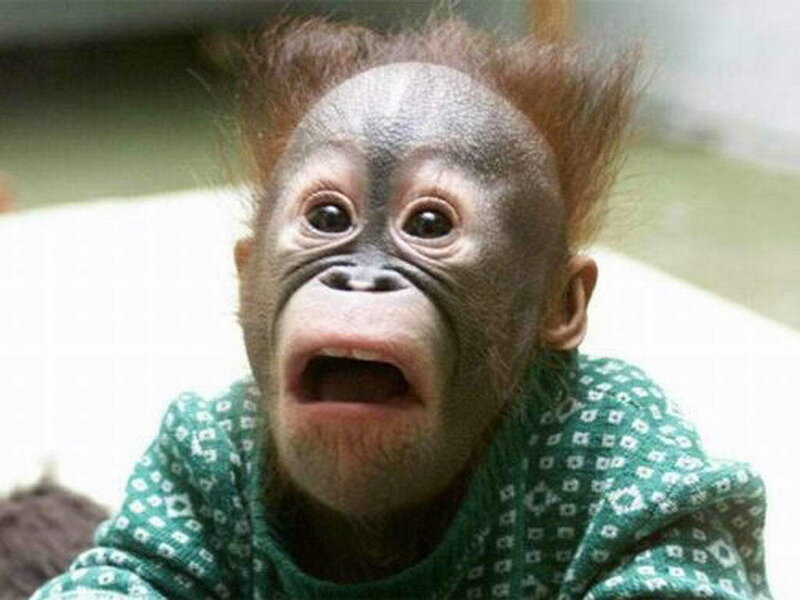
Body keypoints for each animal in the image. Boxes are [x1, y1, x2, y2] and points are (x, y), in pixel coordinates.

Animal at [28, 17, 771, 600]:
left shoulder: (637, 445)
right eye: (329, 217)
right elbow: (129, 564)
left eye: (430, 225)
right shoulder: (189, 454)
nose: (361, 282)